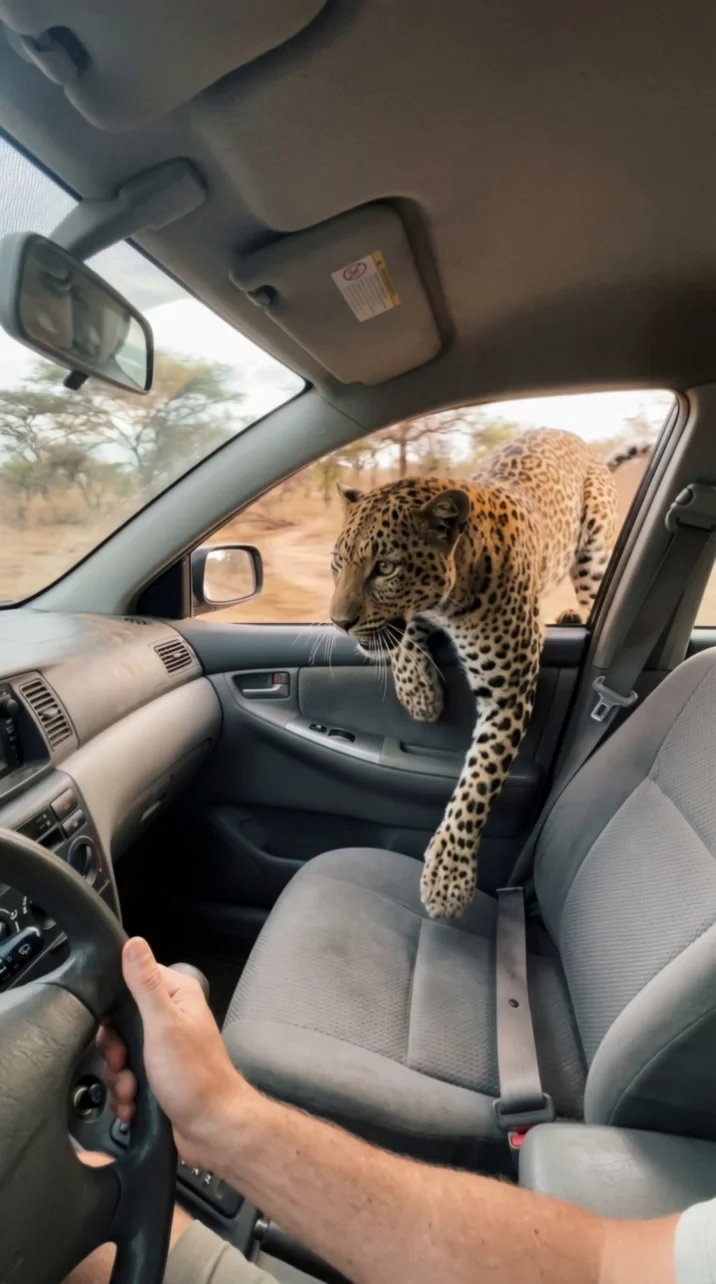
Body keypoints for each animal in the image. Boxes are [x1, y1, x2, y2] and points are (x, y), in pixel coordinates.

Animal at [329, 427, 629, 919]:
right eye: (338, 563)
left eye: (385, 568)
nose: (338, 622)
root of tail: (574, 438)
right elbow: (404, 635)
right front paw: (419, 693)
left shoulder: (509, 689)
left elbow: (479, 780)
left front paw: (448, 876)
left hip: (594, 550)